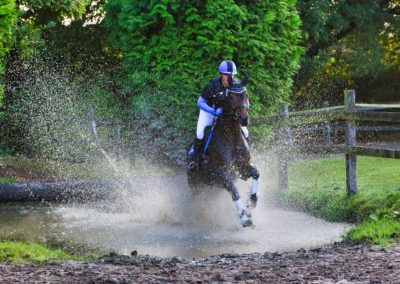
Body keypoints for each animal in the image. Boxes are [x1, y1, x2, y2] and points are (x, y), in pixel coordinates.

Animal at [187, 81, 260, 226]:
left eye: (246, 95)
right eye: (231, 97)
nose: (244, 119)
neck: (230, 136)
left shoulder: (242, 168)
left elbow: (255, 172)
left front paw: (252, 201)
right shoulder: (221, 174)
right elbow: (234, 192)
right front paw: (244, 218)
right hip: (195, 183)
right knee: (197, 198)